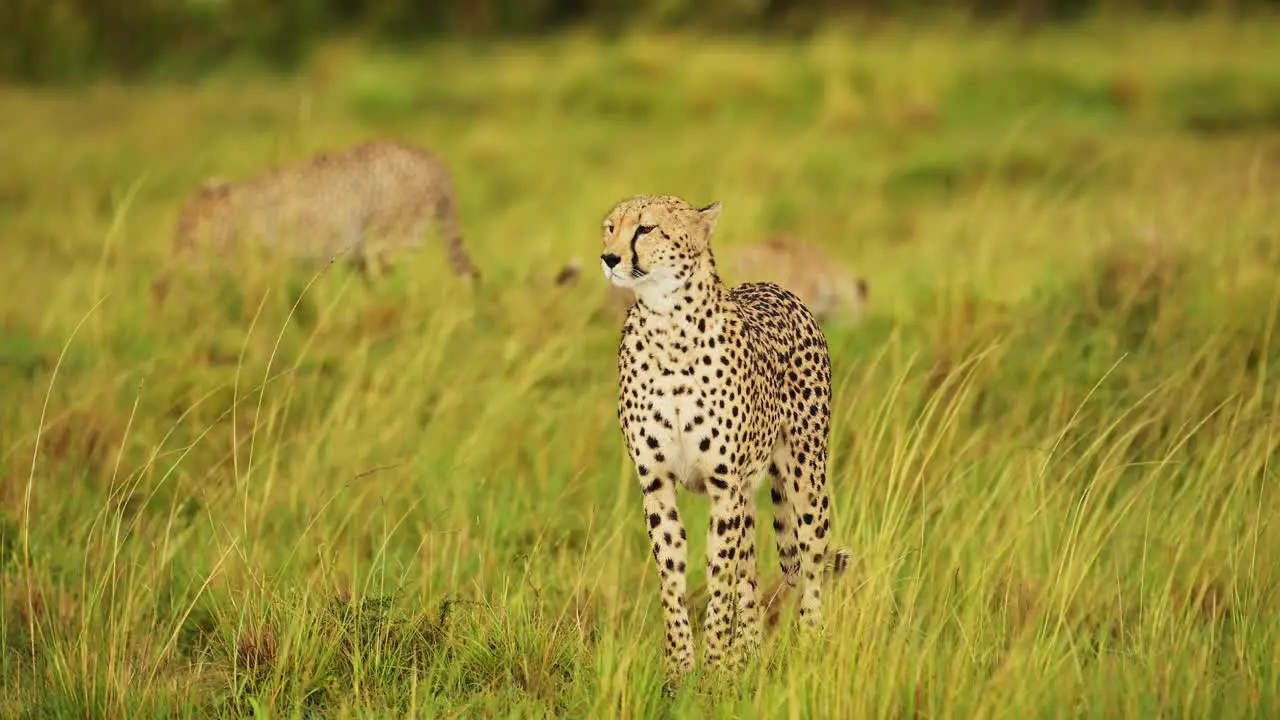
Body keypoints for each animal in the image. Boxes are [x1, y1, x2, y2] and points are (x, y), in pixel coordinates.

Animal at [601, 192, 839, 671]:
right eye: (610, 227)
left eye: (646, 228)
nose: (609, 258)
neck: (668, 328)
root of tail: (775, 286)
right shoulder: (657, 483)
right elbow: (673, 575)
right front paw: (681, 667)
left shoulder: (723, 485)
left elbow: (719, 577)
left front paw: (713, 665)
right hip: (748, 494)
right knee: (749, 569)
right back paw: (748, 653)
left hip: (805, 477)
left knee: (810, 562)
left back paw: (809, 643)